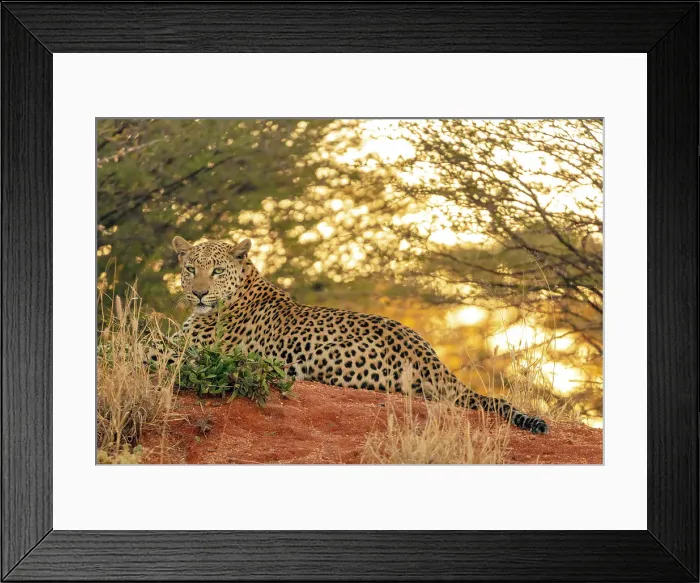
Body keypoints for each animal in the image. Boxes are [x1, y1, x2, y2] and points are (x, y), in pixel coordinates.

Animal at [148, 235, 549, 434]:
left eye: (216, 271)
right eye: (190, 269)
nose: (199, 293)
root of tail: (432, 360)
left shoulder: (194, 352)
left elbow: (150, 346)